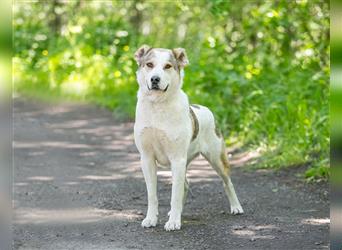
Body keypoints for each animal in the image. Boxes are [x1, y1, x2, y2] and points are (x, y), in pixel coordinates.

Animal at [133, 45, 243, 230]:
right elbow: (152, 194)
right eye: (149, 64)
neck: (158, 106)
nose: (155, 79)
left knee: (227, 182)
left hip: (216, 159)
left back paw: (236, 207)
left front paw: (174, 222)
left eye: (168, 66)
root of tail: (205, 108)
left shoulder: (177, 159)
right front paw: (151, 219)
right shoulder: (147, 159)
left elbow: (175, 195)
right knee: (185, 185)